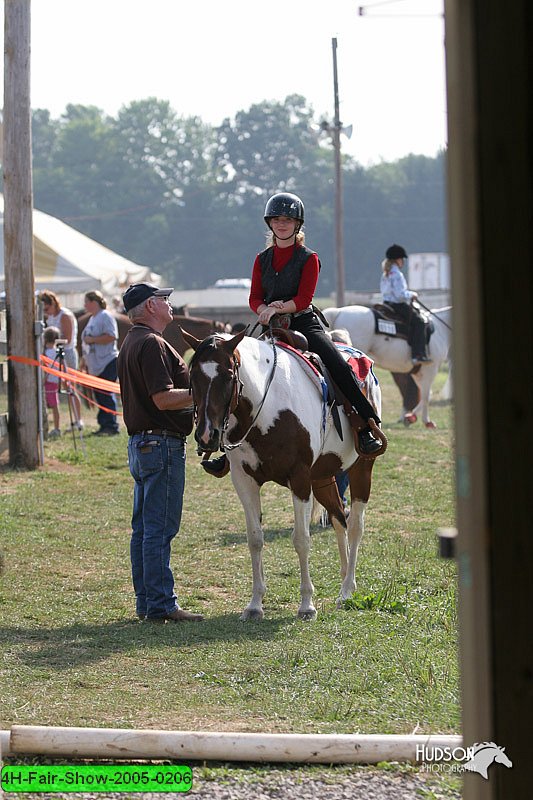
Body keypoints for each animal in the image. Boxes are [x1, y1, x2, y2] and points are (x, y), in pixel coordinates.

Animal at [322, 304, 450, 428]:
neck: (440, 329)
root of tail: (338, 311)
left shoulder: (417, 372)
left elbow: (424, 395)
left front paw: (410, 417)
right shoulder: (430, 368)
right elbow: (426, 396)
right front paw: (425, 421)